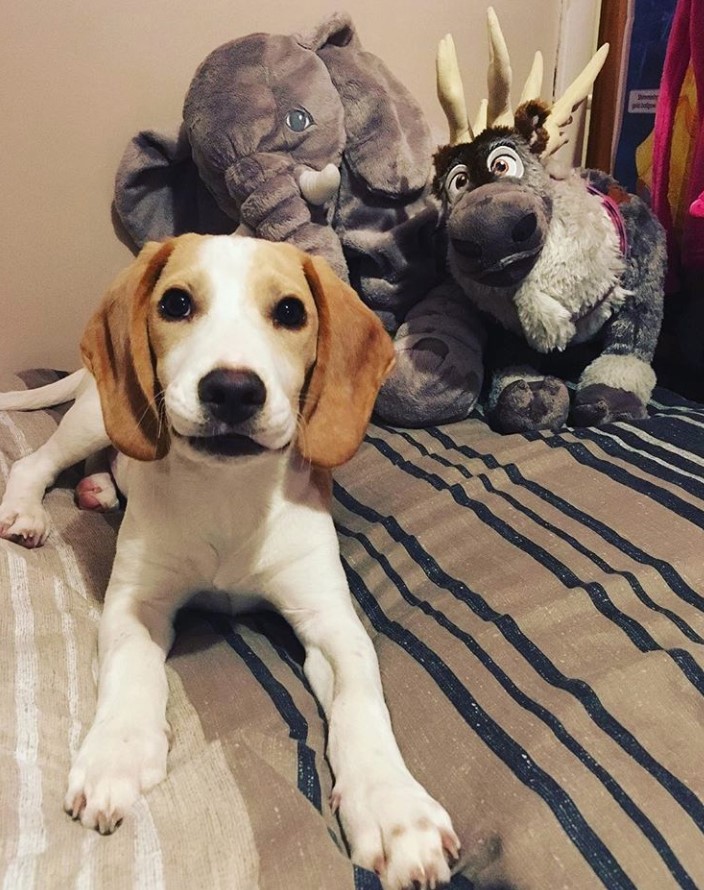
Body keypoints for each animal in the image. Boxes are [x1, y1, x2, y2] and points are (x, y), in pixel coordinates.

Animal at [0, 234, 456, 888]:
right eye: (175, 303)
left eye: (290, 312)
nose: (234, 390)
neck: (230, 494)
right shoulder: (136, 604)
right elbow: (132, 672)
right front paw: (116, 752)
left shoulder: (332, 623)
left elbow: (362, 703)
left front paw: (394, 808)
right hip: (93, 419)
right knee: (38, 462)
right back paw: (28, 511)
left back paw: (99, 489)